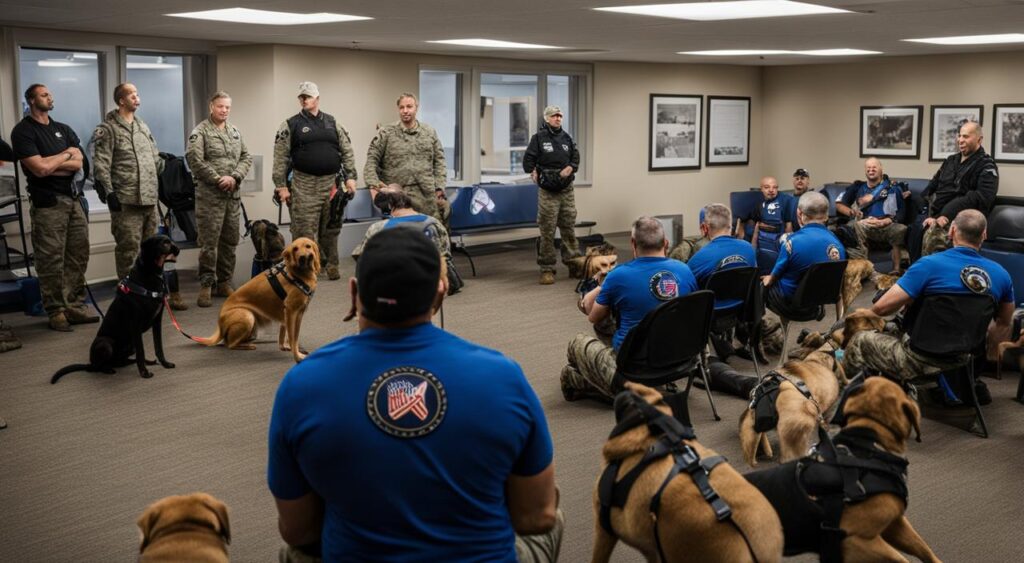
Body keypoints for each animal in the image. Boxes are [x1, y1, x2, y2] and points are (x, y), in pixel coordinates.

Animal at [49, 234, 178, 384]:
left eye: (170, 241)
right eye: (164, 243)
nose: (176, 248)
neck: (151, 273)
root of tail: (90, 363)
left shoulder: (157, 321)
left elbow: (159, 347)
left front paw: (165, 363)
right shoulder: (135, 325)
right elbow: (142, 351)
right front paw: (144, 373)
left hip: (130, 345)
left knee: (122, 361)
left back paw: (143, 362)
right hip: (105, 343)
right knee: (96, 367)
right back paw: (107, 369)